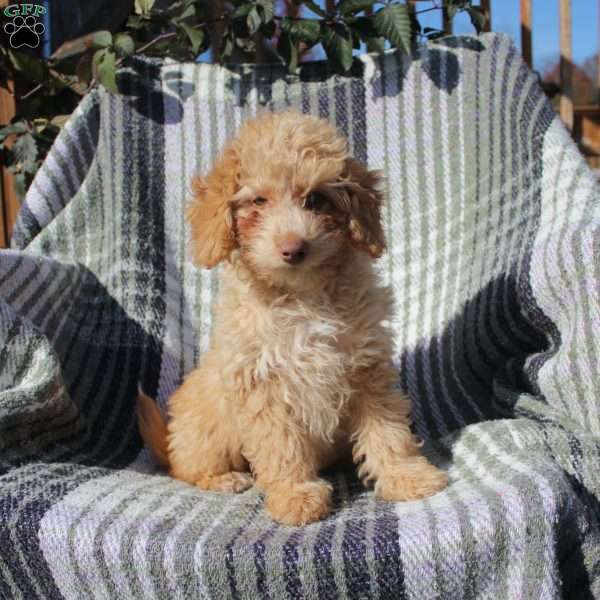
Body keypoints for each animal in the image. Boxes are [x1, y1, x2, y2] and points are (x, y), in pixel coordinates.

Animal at [138, 110, 448, 524]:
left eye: (316, 198)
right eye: (258, 200)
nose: (293, 248)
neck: (303, 296)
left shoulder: (368, 369)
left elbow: (388, 431)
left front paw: (406, 476)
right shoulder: (261, 382)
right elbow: (280, 444)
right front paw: (295, 494)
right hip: (205, 429)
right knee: (184, 468)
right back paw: (223, 479)